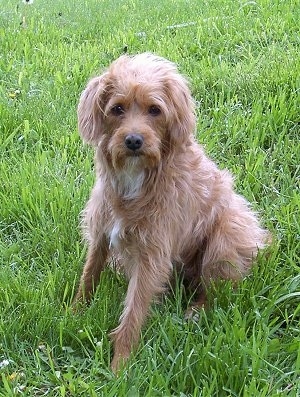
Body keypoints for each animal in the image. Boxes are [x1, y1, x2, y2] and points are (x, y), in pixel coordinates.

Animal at [73, 51, 270, 372]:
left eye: (155, 110)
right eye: (117, 109)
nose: (133, 140)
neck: (137, 179)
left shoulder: (152, 256)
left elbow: (133, 312)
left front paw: (119, 367)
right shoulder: (101, 231)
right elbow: (89, 273)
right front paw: (75, 312)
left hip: (225, 238)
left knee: (217, 291)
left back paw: (195, 312)